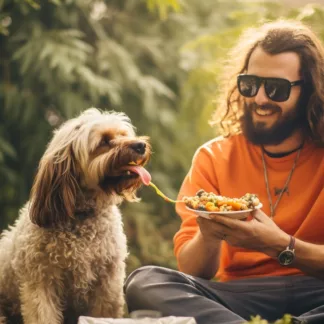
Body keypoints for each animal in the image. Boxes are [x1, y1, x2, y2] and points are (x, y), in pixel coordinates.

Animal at [0, 108, 152, 324]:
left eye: (124, 134)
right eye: (104, 141)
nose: (140, 145)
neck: (83, 216)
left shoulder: (107, 285)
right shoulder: (41, 284)